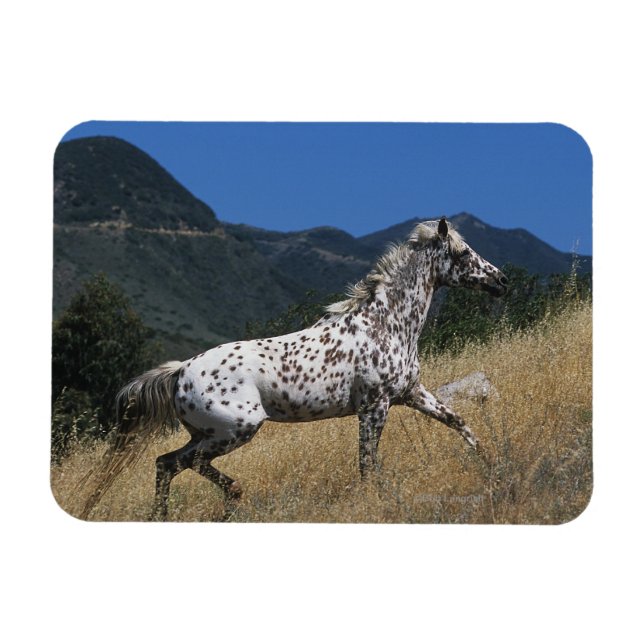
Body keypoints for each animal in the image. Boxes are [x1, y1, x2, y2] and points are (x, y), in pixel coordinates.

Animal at [79, 217, 507, 520]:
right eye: (463, 253)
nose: (501, 281)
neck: (386, 323)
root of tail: (180, 371)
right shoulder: (376, 407)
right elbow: (367, 463)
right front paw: (376, 499)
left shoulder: (411, 393)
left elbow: (458, 421)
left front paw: (490, 461)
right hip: (236, 429)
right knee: (183, 463)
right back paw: (233, 496)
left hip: (204, 433)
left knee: (165, 464)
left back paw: (170, 514)